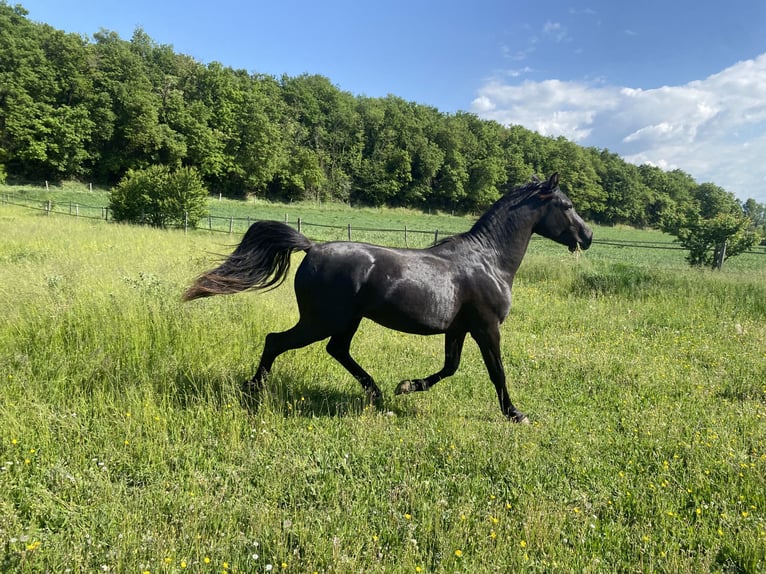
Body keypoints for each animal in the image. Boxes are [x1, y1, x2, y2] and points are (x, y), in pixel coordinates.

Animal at [183, 173, 592, 422]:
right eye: (566, 205)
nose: (587, 236)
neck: (487, 260)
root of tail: (312, 248)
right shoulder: (486, 327)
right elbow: (497, 372)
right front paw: (515, 413)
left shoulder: (458, 328)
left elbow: (450, 367)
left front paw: (407, 386)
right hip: (321, 320)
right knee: (276, 341)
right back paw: (255, 391)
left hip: (345, 321)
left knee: (337, 350)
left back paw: (378, 393)